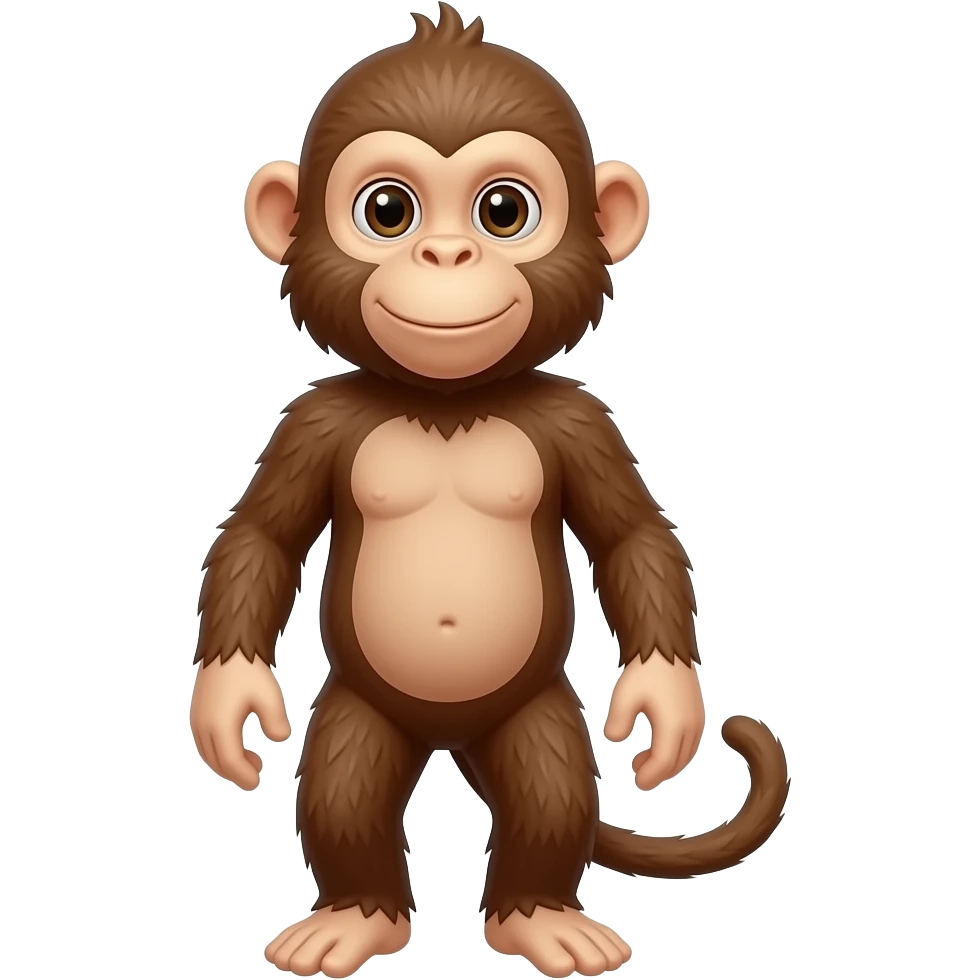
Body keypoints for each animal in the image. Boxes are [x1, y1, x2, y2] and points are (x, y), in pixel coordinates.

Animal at [189, 5, 790, 978]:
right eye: (387, 210)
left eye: (503, 209)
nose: (447, 251)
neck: (449, 403)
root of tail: (450, 734)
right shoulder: (313, 421)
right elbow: (261, 538)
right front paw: (228, 700)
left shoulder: (581, 422)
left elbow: (632, 537)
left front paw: (665, 704)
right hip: (363, 706)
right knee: (345, 785)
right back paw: (354, 916)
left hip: (532, 706)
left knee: (549, 785)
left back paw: (540, 917)